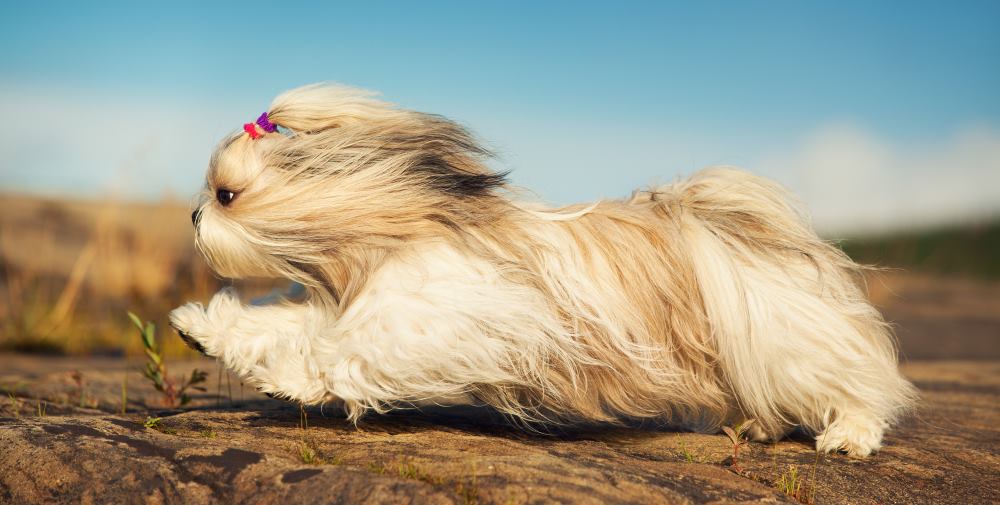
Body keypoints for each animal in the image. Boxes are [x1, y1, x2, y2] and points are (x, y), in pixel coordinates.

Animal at [170, 81, 916, 452]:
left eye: (226, 193)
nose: (194, 216)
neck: (386, 234)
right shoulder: (355, 303)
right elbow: (279, 325)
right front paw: (199, 326)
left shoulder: (426, 322)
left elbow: (337, 358)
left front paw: (288, 380)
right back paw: (758, 425)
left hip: (784, 337)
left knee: (858, 387)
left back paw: (847, 436)